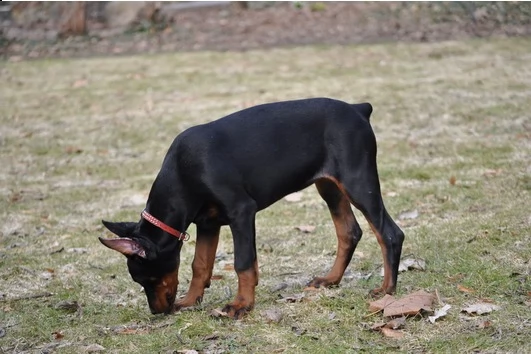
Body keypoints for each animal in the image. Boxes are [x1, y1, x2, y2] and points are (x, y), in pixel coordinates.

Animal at [100, 97, 406, 318]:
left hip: (358, 181)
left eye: (148, 279)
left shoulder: (241, 211)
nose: (157, 312)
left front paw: (241, 305)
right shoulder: (208, 223)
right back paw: (330, 279)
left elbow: (243, 262)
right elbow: (200, 264)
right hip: (329, 187)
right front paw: (189, 301)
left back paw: (386, 290)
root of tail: (358, 109)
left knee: (390, 233)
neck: (183, 171)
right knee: (349, 232)